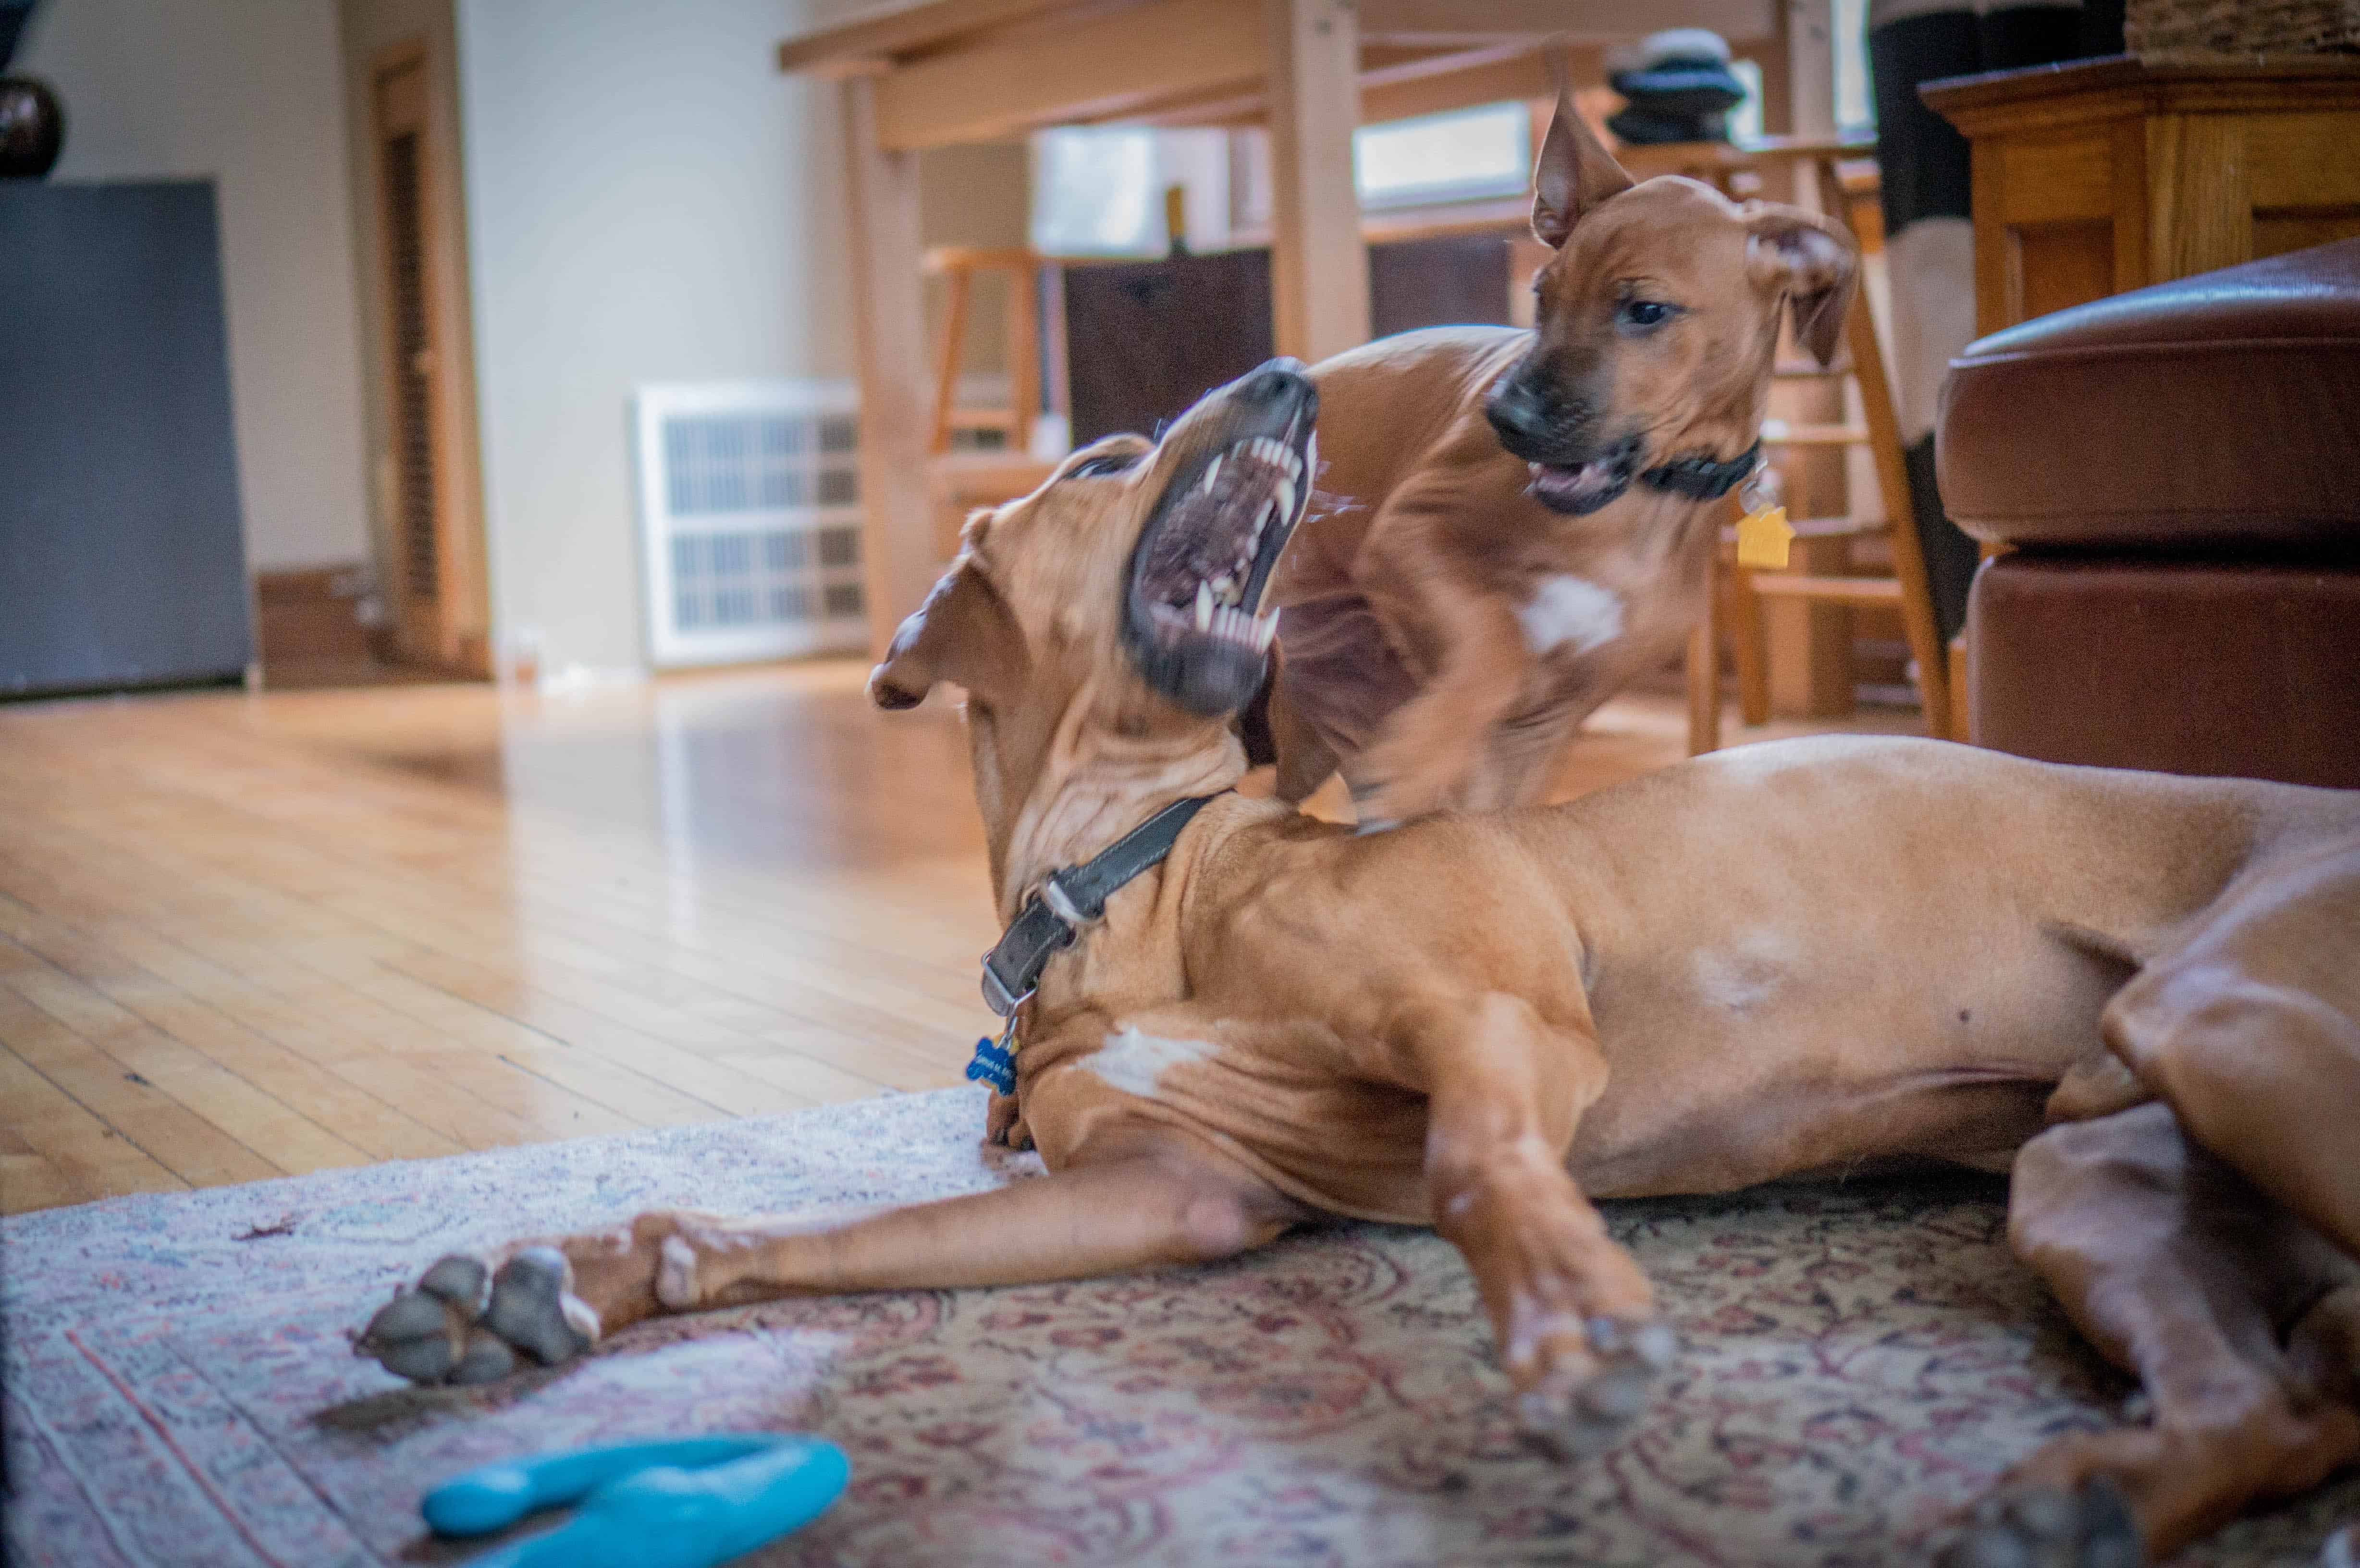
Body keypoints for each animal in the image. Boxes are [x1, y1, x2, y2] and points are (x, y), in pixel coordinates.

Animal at [354, 364, 2360, 1568]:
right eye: (1100, 460)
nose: (1292, 379)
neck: (1132, 886)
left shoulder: (1497, 1020)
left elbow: (1476, 1159)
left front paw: (1566, 1312)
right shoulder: (1165, 1194)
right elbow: (819, 1232)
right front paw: (559, 1283)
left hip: (2215, 1018)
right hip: (2097, 1166)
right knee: (2265, 1404)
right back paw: (2087, 1497)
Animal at [1265, 101, 1850, 821]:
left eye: (1646, 310)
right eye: (1542, 297)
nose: (1503, 418)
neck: (1638, 509)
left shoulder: (1543, 726)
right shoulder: (1411, 532)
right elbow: (1497, 640)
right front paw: (1415, 757)